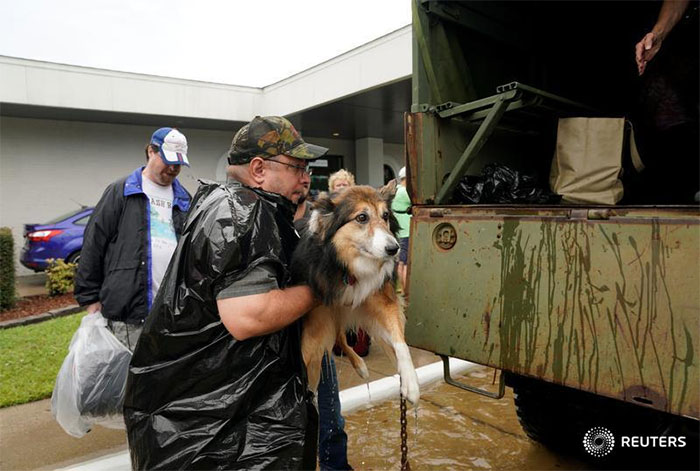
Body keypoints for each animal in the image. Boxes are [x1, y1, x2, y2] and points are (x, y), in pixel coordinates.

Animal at [292, 185, 418, 406]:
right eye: (361, 217)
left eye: (385, 215)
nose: (394, 249)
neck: (348, 266)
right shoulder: (317, 318)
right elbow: (307, 357)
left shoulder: (381, 299)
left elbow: (400, 342)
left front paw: (410, 383)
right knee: (338, 336)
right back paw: (359, 364)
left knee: (340, 335)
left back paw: (360, 365)